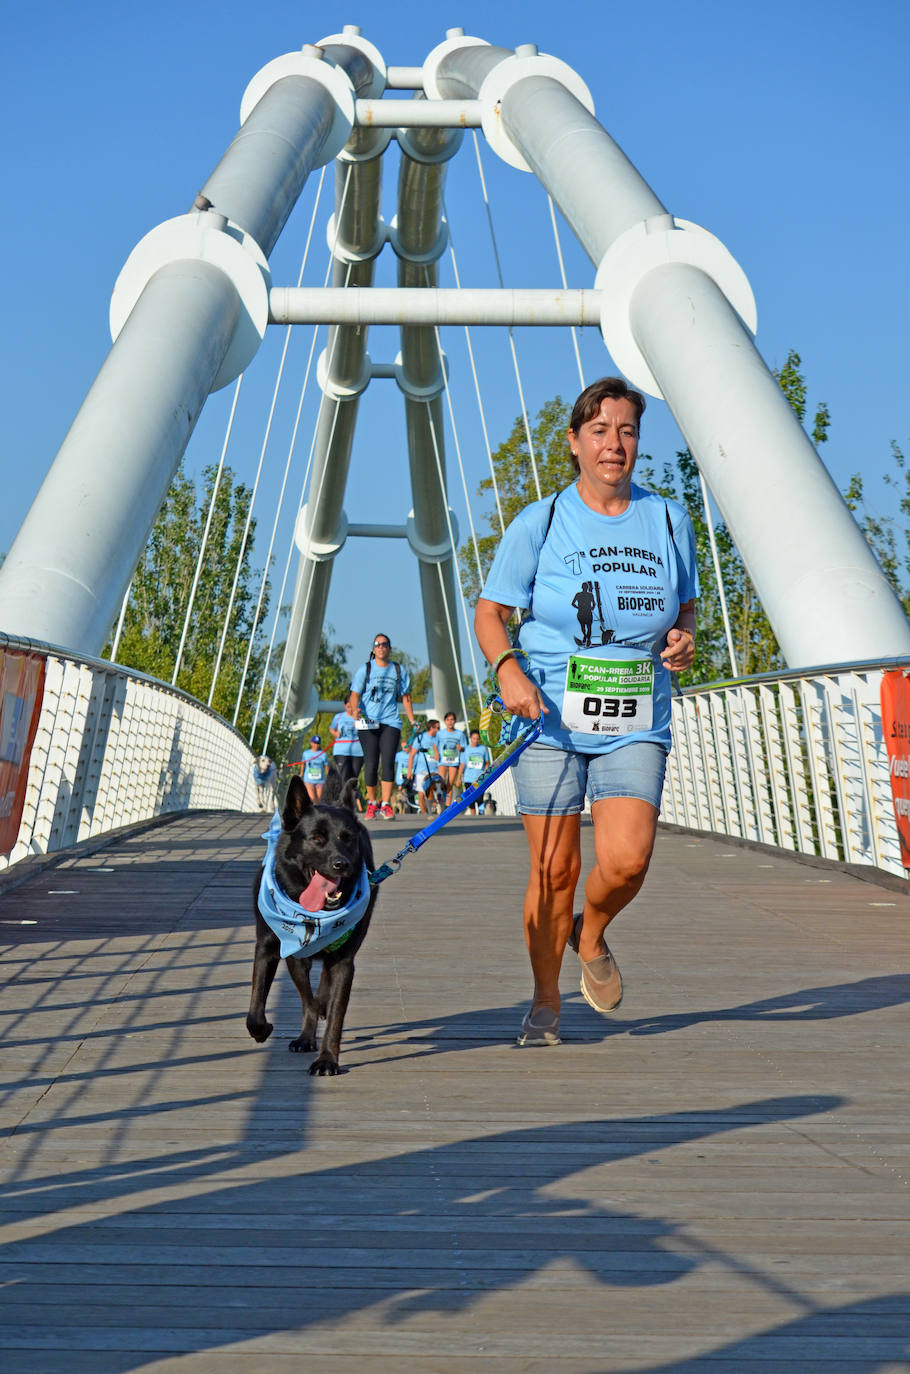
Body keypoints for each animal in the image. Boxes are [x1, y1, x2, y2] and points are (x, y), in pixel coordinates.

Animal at [246, 774, 376, 1071]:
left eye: (348, 838)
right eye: (316, 838)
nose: (342, 864)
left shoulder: (343, 961)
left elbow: (335, 1013)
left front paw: (327, 1059)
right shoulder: (274, 948)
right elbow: (259, 1007)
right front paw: (263, 1030)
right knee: (308, 996)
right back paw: (306, 1036)